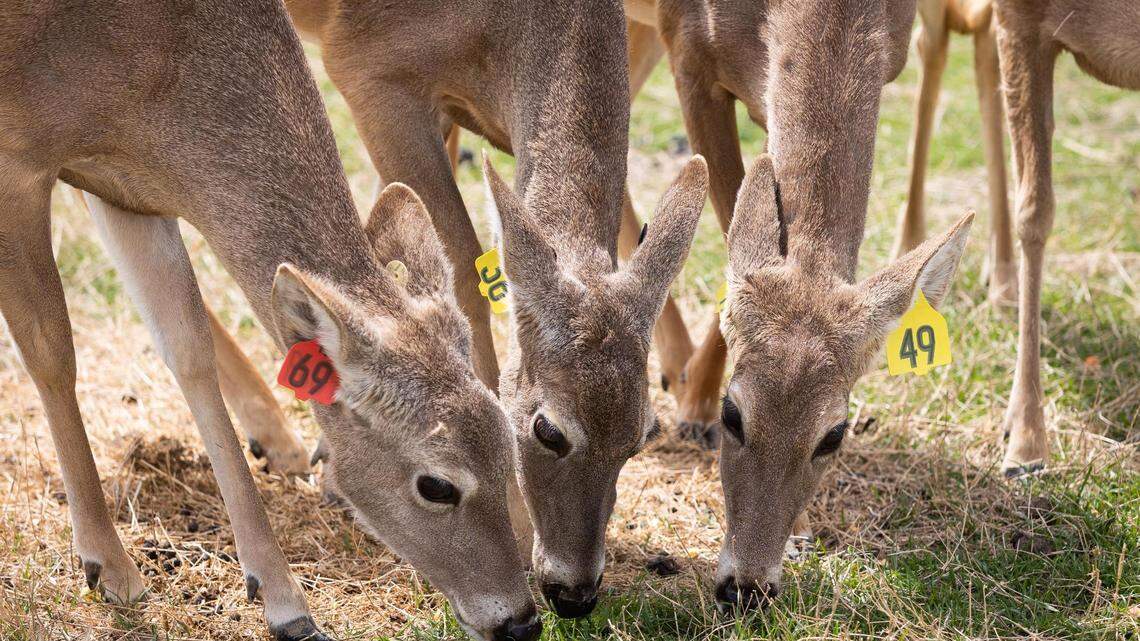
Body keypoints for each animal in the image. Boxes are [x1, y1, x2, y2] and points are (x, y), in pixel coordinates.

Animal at [0, 2, 542, 640]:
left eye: (510, 446)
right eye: (437, 484)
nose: (521, 621)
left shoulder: (126, 187)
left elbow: (187, 349)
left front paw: (282, 598)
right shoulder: (18, 163)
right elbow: (51, 353)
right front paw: (109, 566)